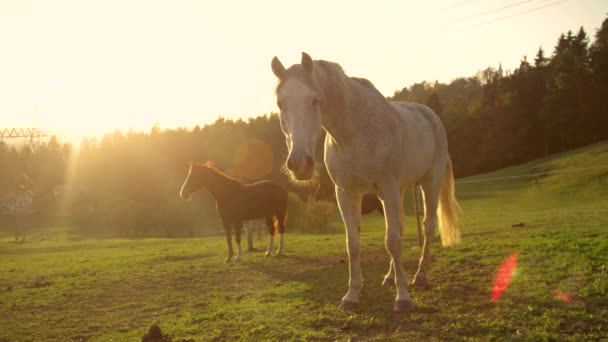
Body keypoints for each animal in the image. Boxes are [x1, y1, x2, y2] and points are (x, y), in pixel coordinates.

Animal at [270, 53, 460, 312]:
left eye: (315, 100)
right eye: (280, 103)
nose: (300, 163)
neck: (356, 134)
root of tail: (431, 117)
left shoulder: (388, 188)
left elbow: (392, 241)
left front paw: (402, 298)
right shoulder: (347, 193)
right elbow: (354, 244)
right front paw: (351, 295)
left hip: (428, 184)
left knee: (428, 226)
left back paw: (419, 276)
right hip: (398, 192)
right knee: (401, 226)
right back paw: (390, 276)